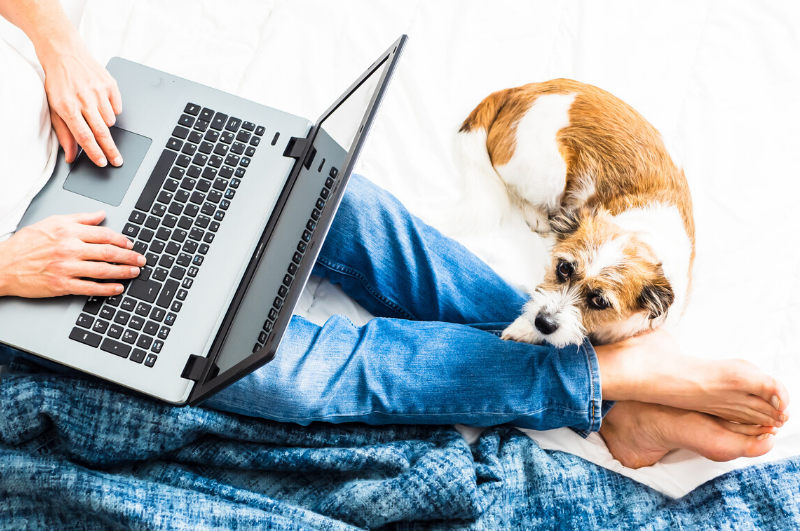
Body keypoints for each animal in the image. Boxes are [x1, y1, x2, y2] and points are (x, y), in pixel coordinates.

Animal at [456, 77, 692, 348]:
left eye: (600, 301)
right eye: (564, 268)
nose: (543, 323)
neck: (641, 234)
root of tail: (525, 89)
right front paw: (525, 329)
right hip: (550, 176)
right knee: (513, 187)